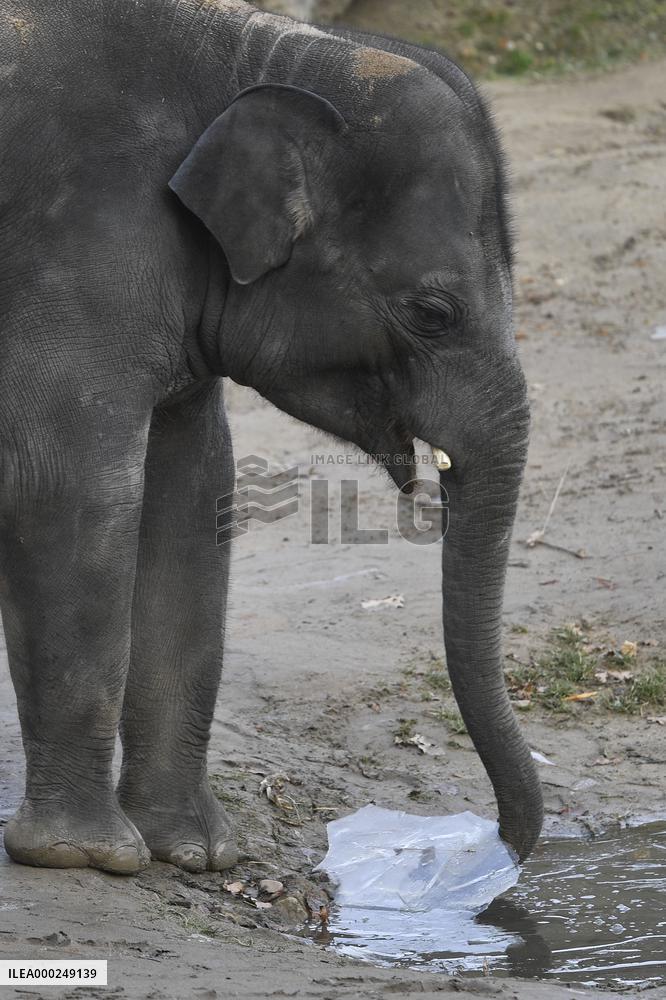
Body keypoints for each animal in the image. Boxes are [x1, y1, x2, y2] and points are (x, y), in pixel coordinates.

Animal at [0, 0, 542, 875]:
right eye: (432, 313)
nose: (502, 848)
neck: (256, 48)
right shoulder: (79, 247)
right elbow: (73, 487)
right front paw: (87, 857)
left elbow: (193, 494)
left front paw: (197, 853)